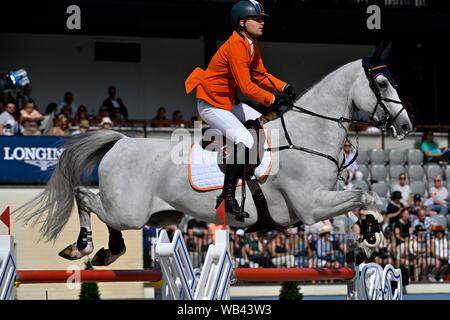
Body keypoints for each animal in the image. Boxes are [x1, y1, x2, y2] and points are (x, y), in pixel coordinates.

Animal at [16, 45, 412, 264]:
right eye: (381, 83)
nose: (406, 125)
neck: (307, 135)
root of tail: (123, 141)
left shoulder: (325, 198)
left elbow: (367, 197)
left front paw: (369, 238)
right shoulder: (311, 206)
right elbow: (365, 196)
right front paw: (371, 237)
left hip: (157, 215)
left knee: (102, 211)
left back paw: (106, 252)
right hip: (127, 209)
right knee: (85, 196)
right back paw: (82, 247)